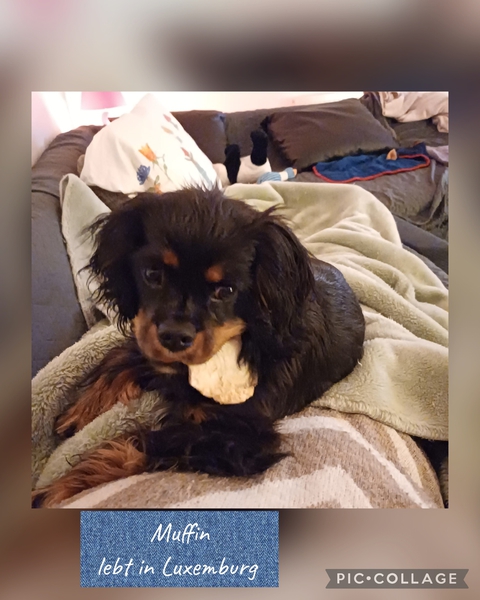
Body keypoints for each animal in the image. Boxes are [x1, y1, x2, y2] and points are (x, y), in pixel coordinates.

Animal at [33, 186, 365, 507]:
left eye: (226, 290)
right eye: (152, 274)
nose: (174, 337)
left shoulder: (241, 441)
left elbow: (144, 441)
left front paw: (61, 486)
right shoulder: (153, 347)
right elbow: (122, 359)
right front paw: (78, 413)